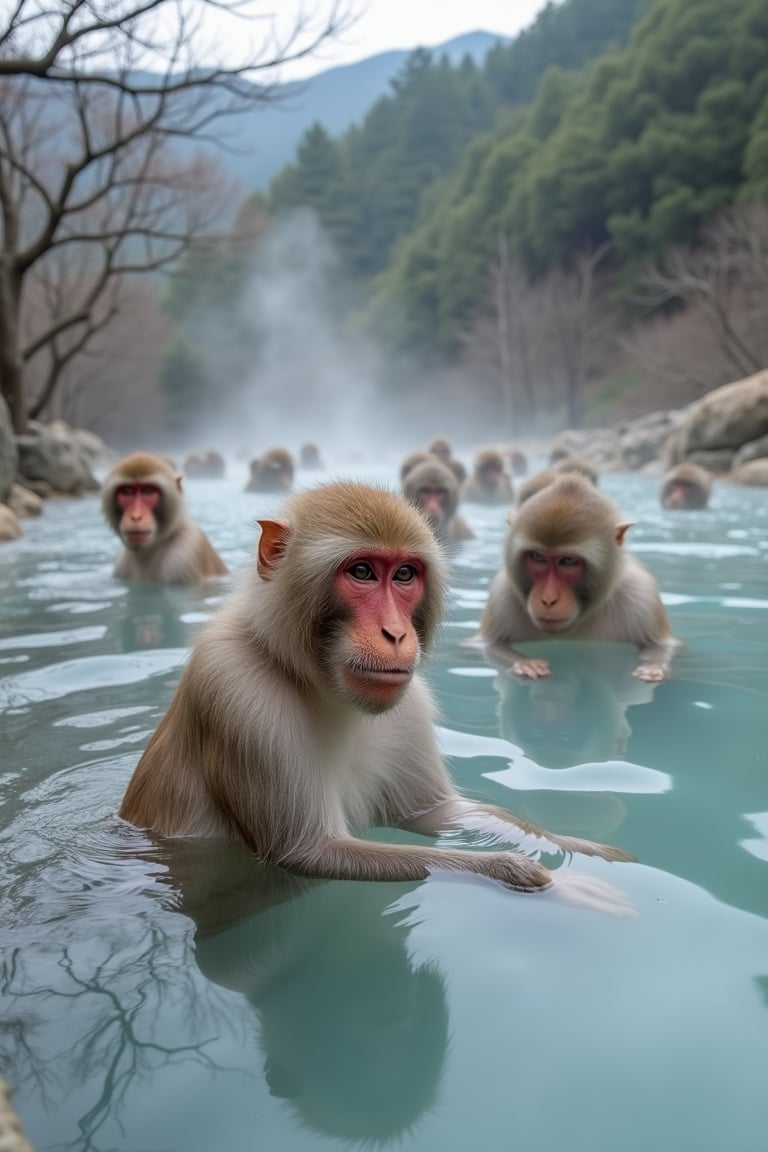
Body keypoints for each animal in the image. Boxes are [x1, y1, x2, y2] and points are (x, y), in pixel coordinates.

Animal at [120, 479, 635, 907]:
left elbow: (439, 813)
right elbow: (308, 852)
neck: (319, 685)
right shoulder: (234, 688)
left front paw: (581, 847)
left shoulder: (409, 706)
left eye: (405, 575)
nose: (396, 633)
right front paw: (541, 879)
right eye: (364, 571)